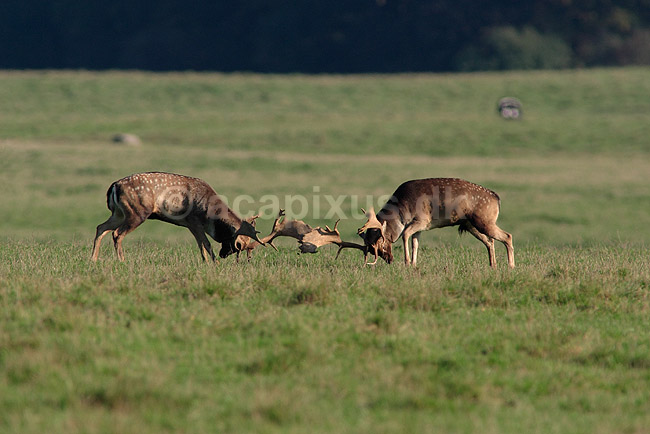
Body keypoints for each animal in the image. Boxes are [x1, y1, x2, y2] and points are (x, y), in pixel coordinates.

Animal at [91, 172, 264, 262]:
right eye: (239, 244)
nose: (223, 255)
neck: (209, 214)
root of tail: (114, 187)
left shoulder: (191, 225)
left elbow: (201, 245)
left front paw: (206, 262)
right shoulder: (193, 221)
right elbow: (206, 244)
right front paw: (214, 263)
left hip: (119, 213)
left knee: (101, 227)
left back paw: (93, 260)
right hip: (137, 212)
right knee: (116, 233)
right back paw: (122, 261)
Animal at [341, 178, 515, 269]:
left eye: (379, 243)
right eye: (370, 249)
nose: (389, 259)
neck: (403, 211)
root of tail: (497, 199)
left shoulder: (422, 219)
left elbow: (405, 235)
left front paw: (407, 262)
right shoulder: (420, 227)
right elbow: (415, 242)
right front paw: (414, 264)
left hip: (484, 221)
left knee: (507, 236)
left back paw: (511, 266)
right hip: (471, 225)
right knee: (490, 241)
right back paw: (493, 265)